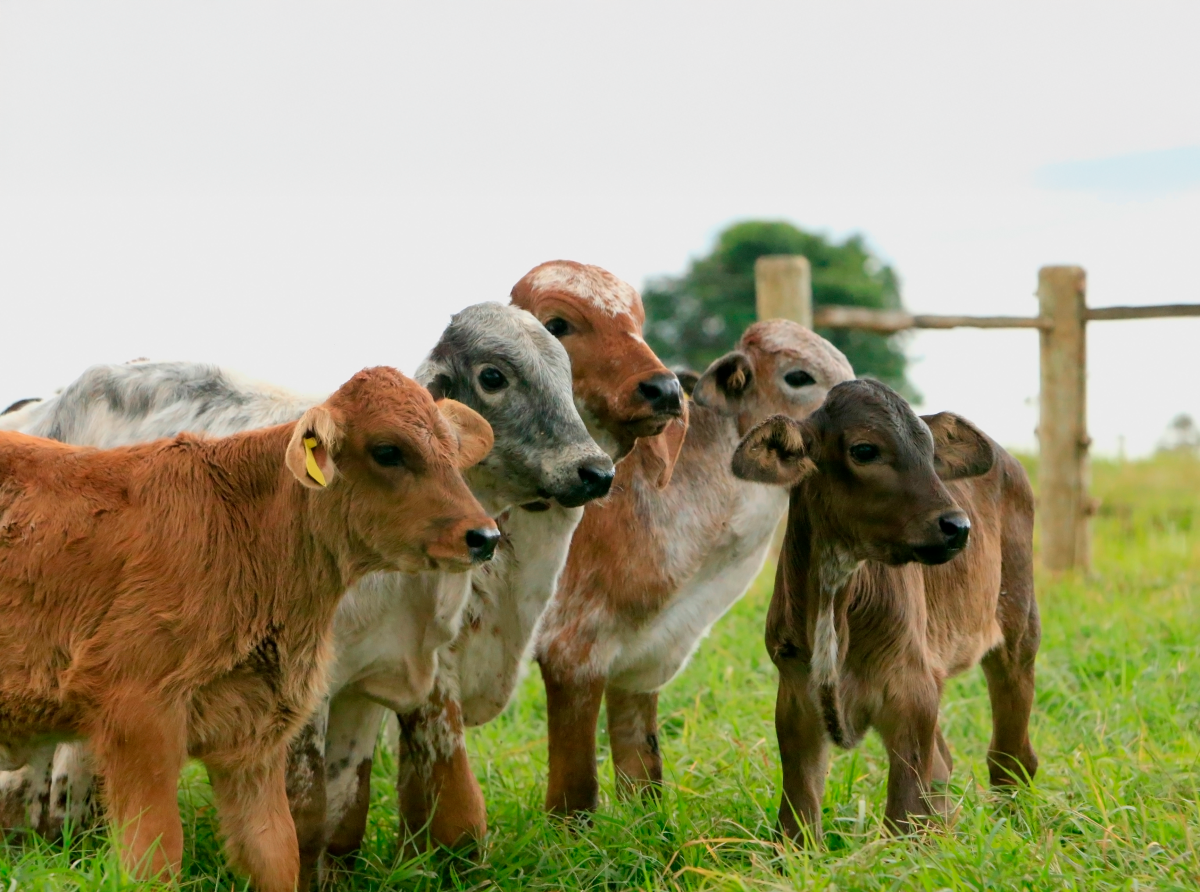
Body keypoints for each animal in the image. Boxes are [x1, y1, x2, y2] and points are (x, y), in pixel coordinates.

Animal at [0, 301, 609, 888]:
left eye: (564, 372)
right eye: (493, 376)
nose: (596, 470)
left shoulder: (411, 679)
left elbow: (411, 807)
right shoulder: (301, 697)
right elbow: (309, 814)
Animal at [729, 379, 1041, 840]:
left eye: (929, 450)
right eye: (864, 450)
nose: (957, 526)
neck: (835, 603)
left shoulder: (911, 691)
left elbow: (905, 813)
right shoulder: (796, 694)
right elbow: (797, 819)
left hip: (1019, 630)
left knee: (1011, 758)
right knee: (946, 765)